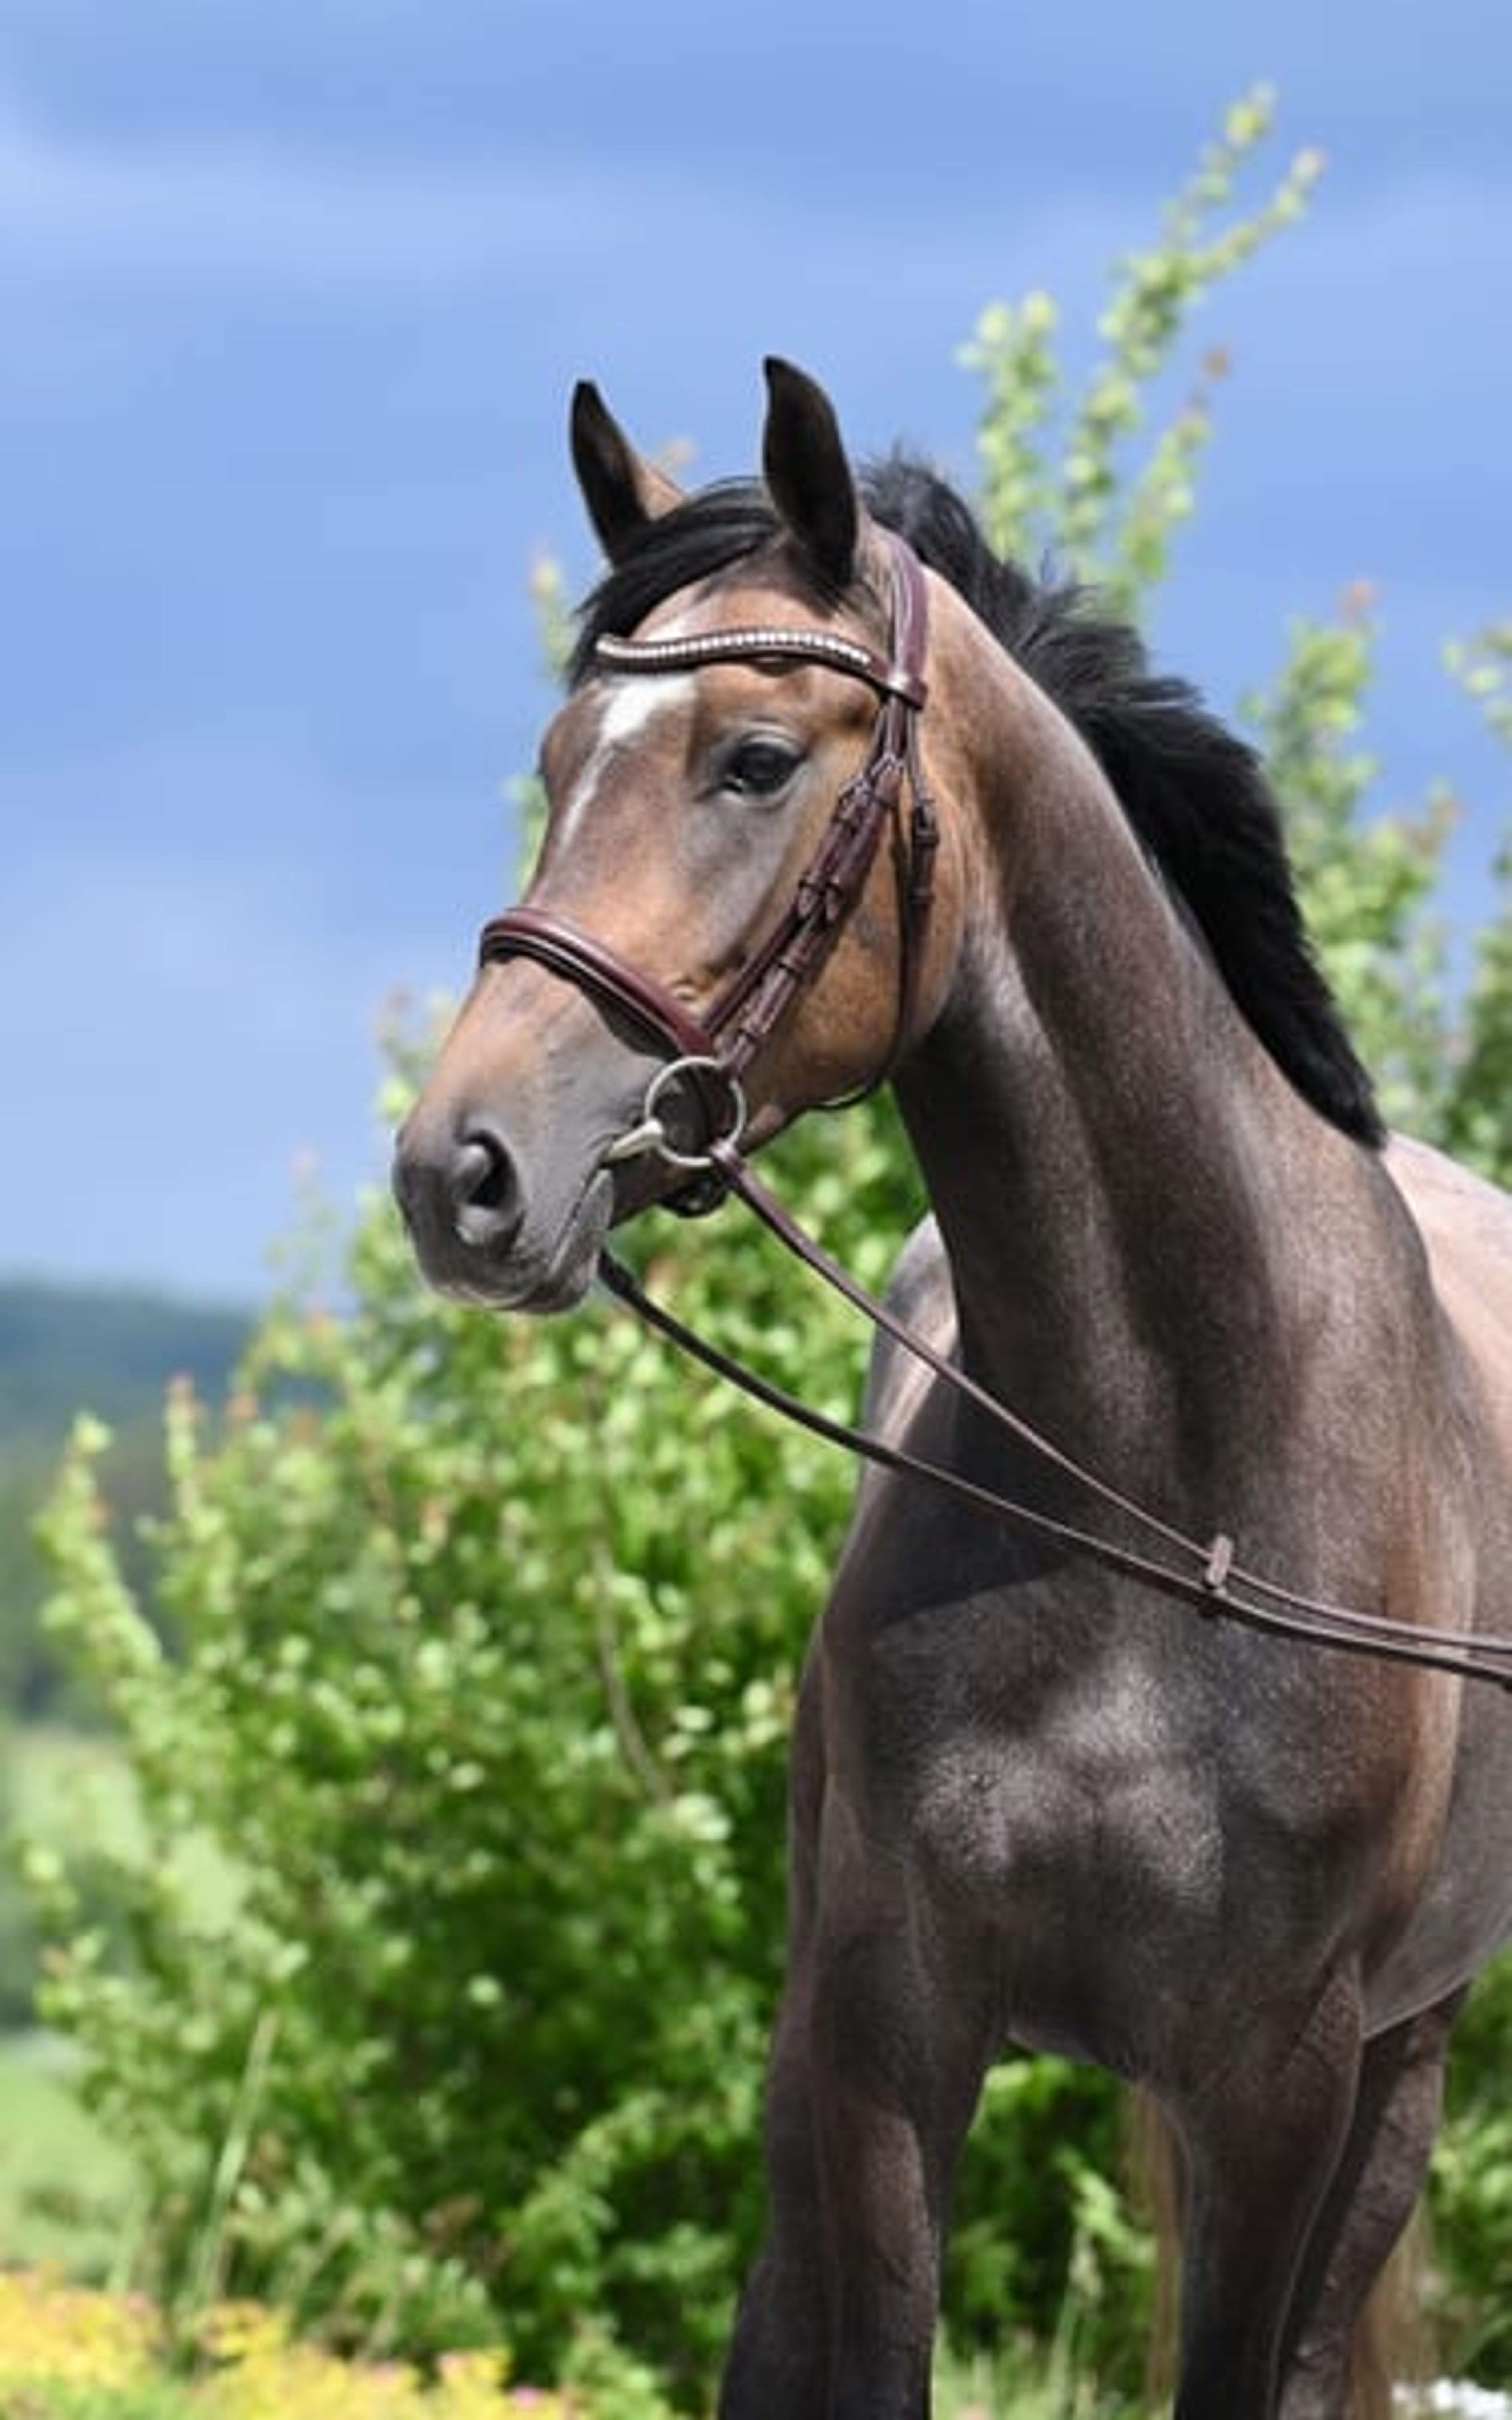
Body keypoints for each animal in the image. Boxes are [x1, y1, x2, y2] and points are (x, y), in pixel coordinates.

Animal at [392, 358, 1512, 2419]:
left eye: (756, 760)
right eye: (561, 757)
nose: (464, 1171)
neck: (1162, 1484)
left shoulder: (1285, 2083)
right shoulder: (884, 2032)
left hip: (1404, 2079)